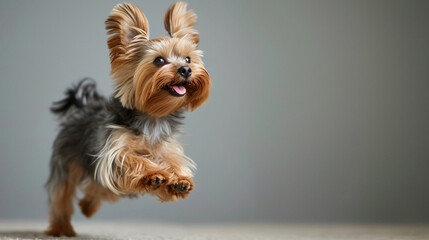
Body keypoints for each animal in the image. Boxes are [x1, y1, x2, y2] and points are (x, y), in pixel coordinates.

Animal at [44, 2, 209, 236]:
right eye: (159, 60)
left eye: (188, 59)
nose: (186, 69)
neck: (152, 117)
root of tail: (85, 107)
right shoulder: (112, 152)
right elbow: (131, 158)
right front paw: (154, 174)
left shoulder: (166, 148)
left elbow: (172, 162)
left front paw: (179, 180)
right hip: (66, 164)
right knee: (62, 196)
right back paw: (61, 228)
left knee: (99, 190)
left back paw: (87, 207)